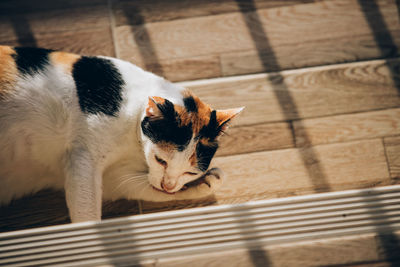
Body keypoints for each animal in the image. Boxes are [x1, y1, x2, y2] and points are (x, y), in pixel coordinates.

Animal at [0, 46, 244, 224]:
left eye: (190, 172)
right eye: (161, 160)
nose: (168, 185)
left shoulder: (117, 181)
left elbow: (150, 190)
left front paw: (207, 182)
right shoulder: (83, 158)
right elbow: (87, 214)